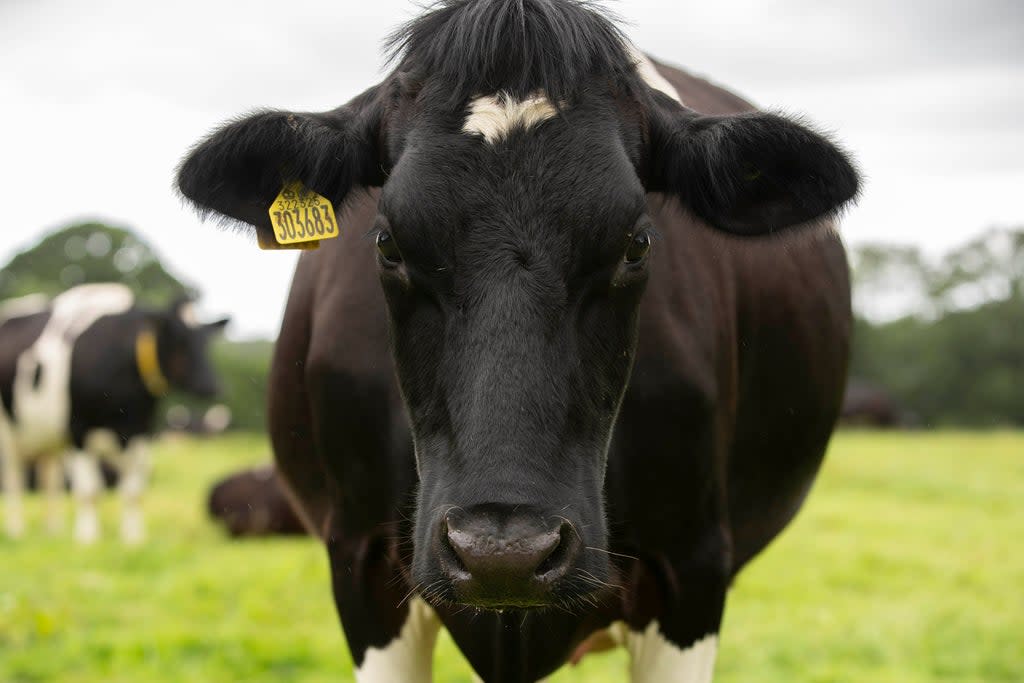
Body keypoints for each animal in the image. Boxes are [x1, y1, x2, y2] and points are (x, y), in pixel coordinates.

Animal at [0, 282, 228, 544]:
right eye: (179, 339)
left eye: (205, 342)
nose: (211, 386)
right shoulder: (78, 431)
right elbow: (88, 491)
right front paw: (87, 538)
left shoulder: (140, 432)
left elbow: (133, 492)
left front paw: (133, 538)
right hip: (9, 435)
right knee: (14, 479)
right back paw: (16, 530)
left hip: (47, 439)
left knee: (50, 479)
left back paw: (53, 530)